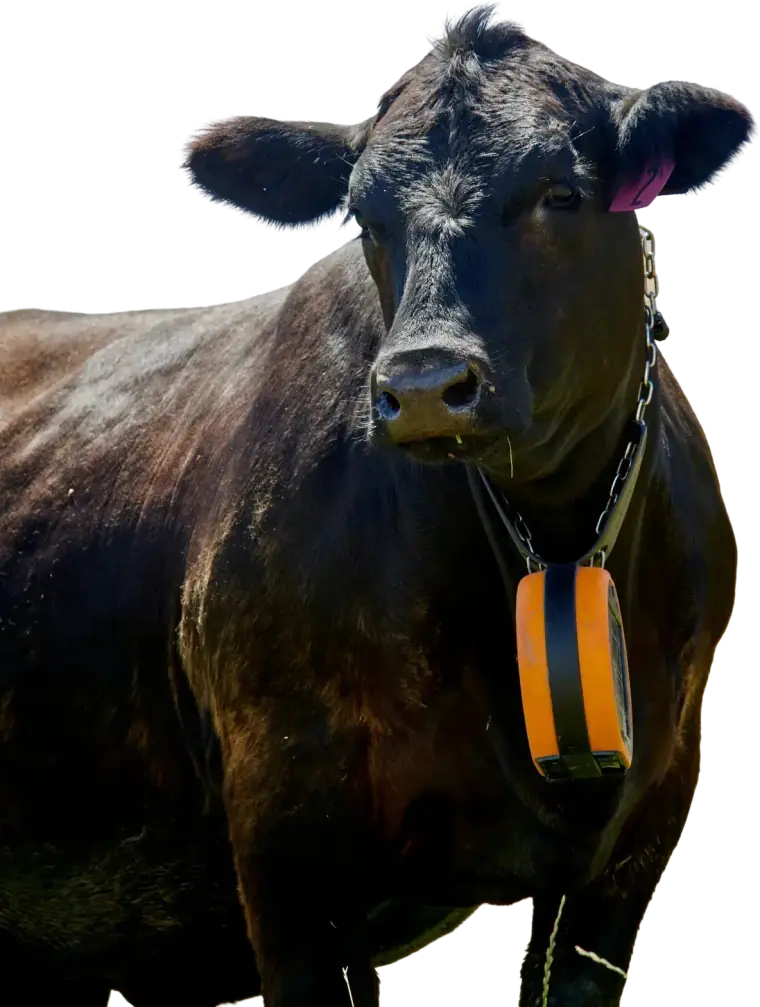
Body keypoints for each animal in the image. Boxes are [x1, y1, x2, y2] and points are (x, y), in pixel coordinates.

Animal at [1, 4, 756, 1006]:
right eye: (363, 214)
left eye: (560, 191)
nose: (425, 384)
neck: (548, 541)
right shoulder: (285, 806)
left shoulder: (646, 815)